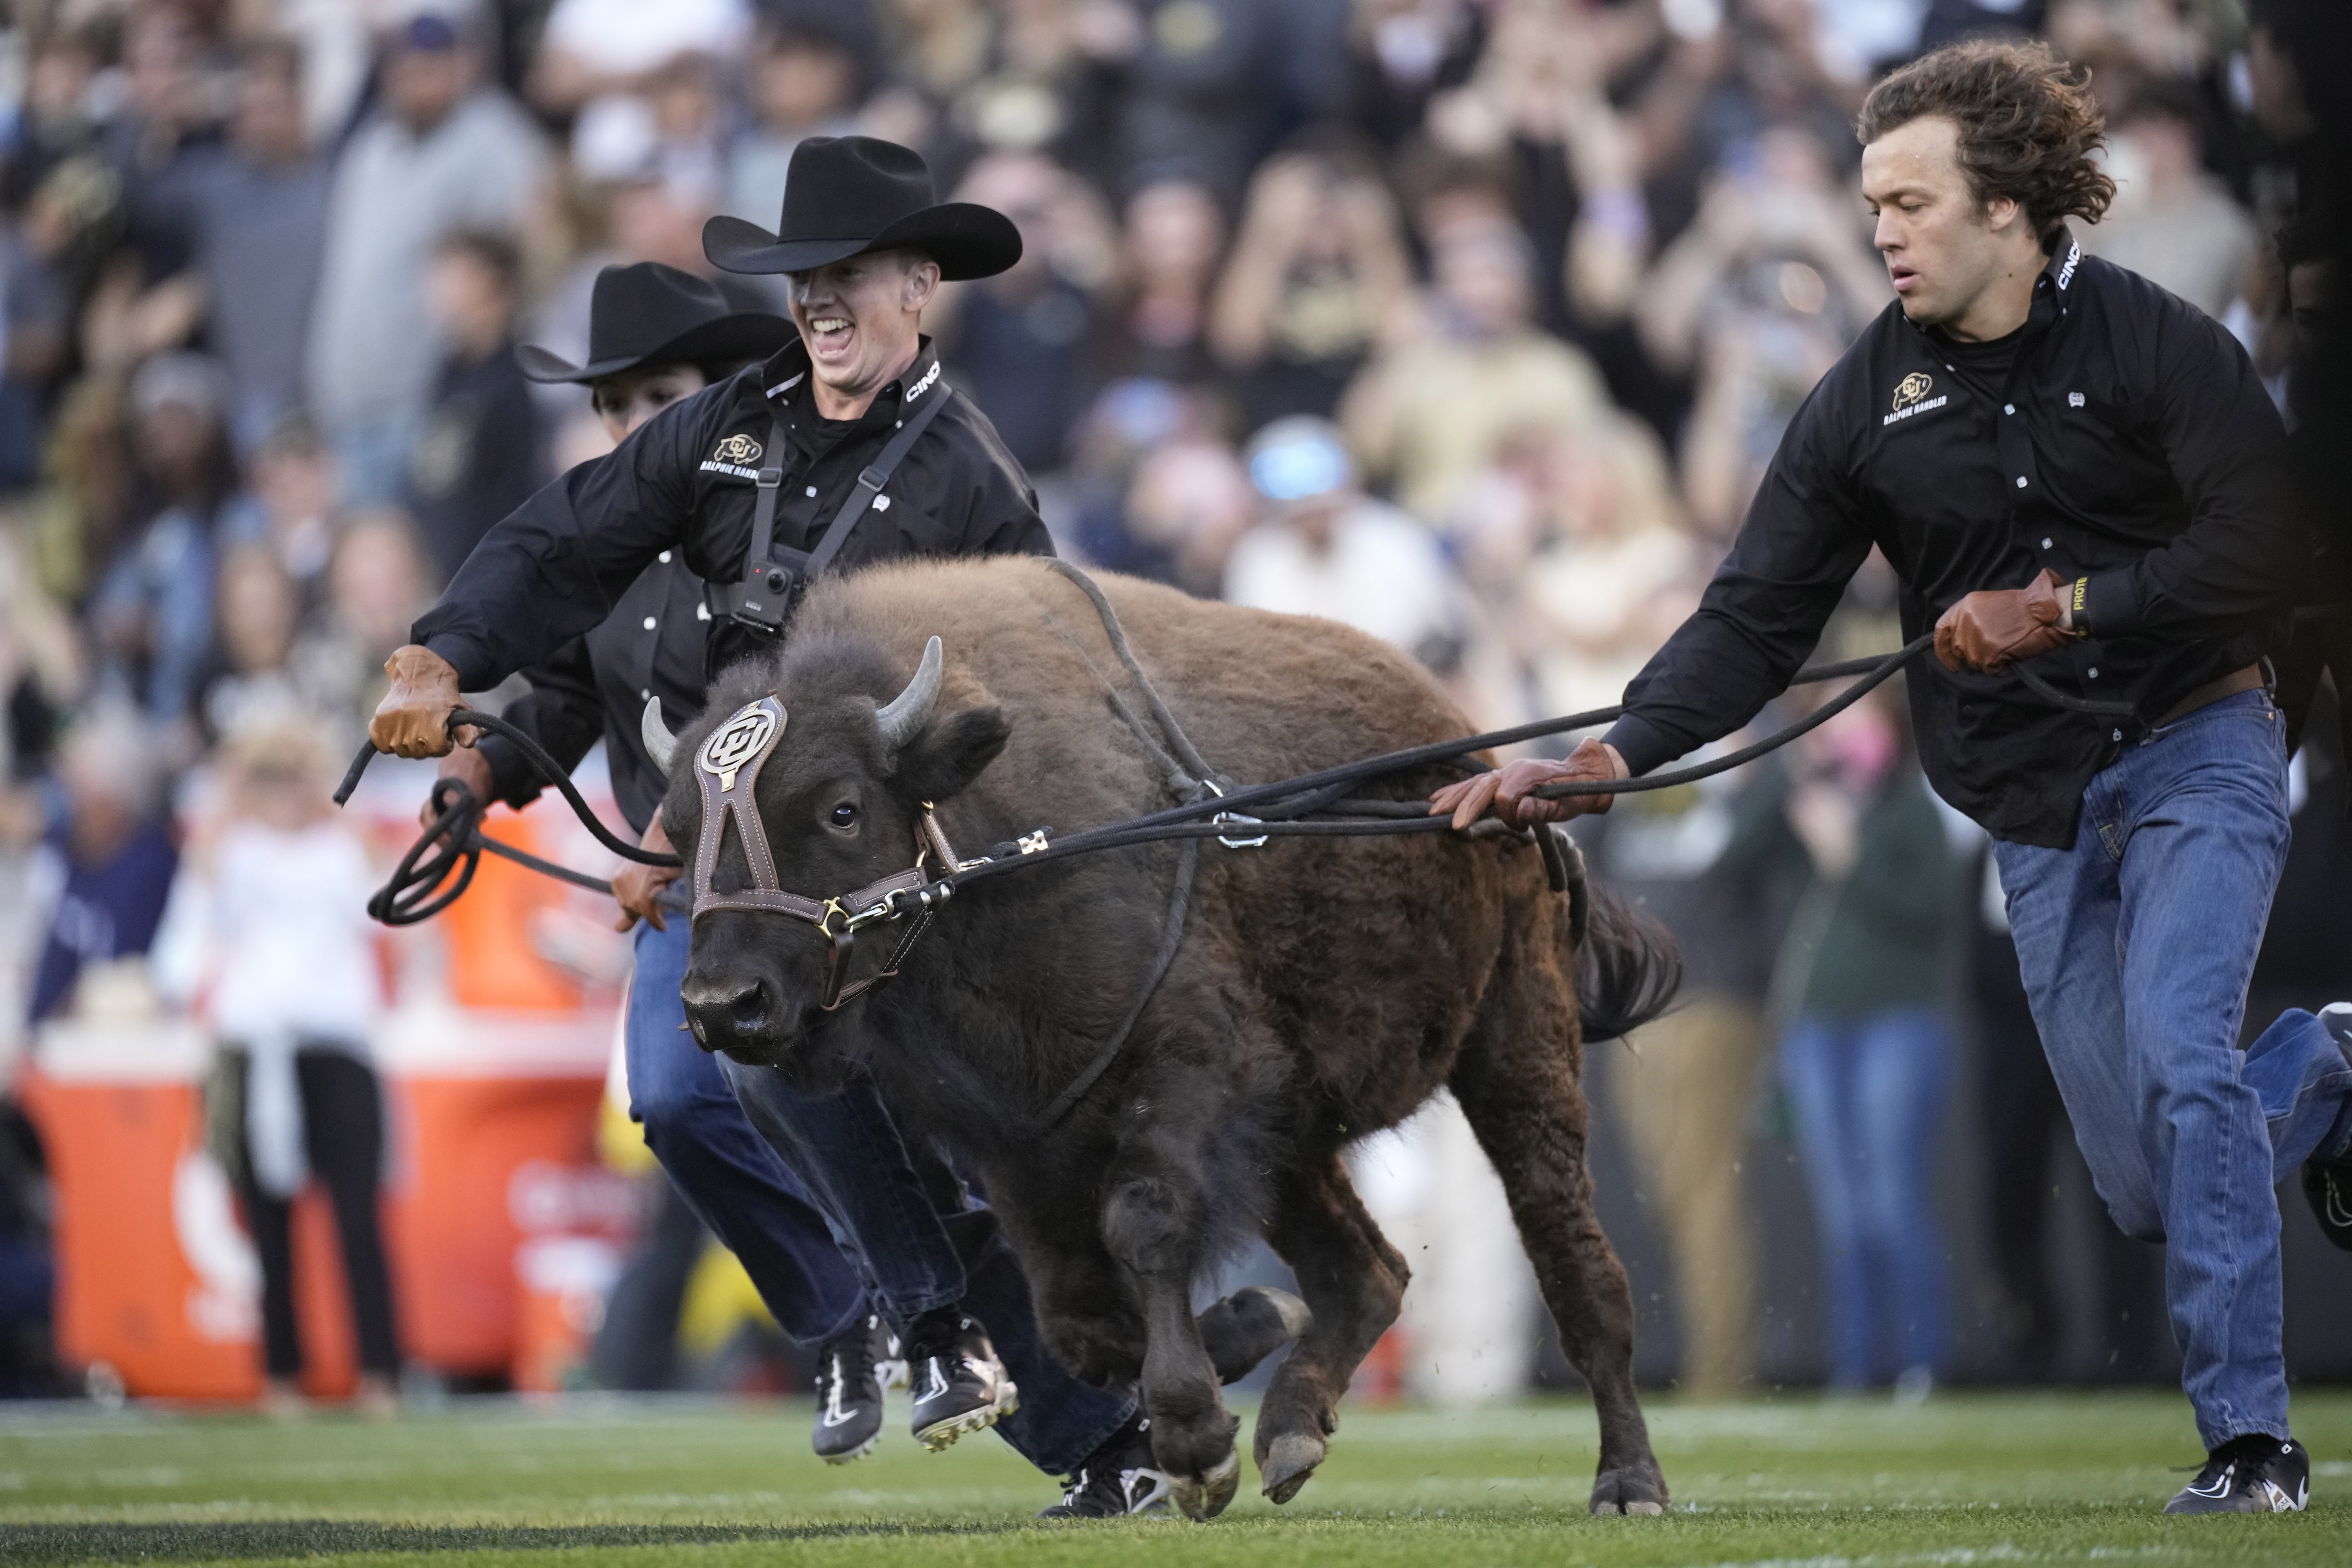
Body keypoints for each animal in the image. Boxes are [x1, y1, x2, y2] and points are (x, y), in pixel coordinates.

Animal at [658, 554, 1674, 1523]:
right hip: (1294, 1139)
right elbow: (1076, 1318)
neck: (998, 839)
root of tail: (1481, 756)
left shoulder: (1186, 1074)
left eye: (842, 808)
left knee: (1574, 1260)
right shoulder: (1022, 1146)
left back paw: (1629, 1482)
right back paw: (1290, 1433)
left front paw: (1193, 1444)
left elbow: (1143, 1223)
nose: (723, 1004)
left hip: (1514, 1041)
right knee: (1367, 1272)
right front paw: (1245, 1339)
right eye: (677, 830)